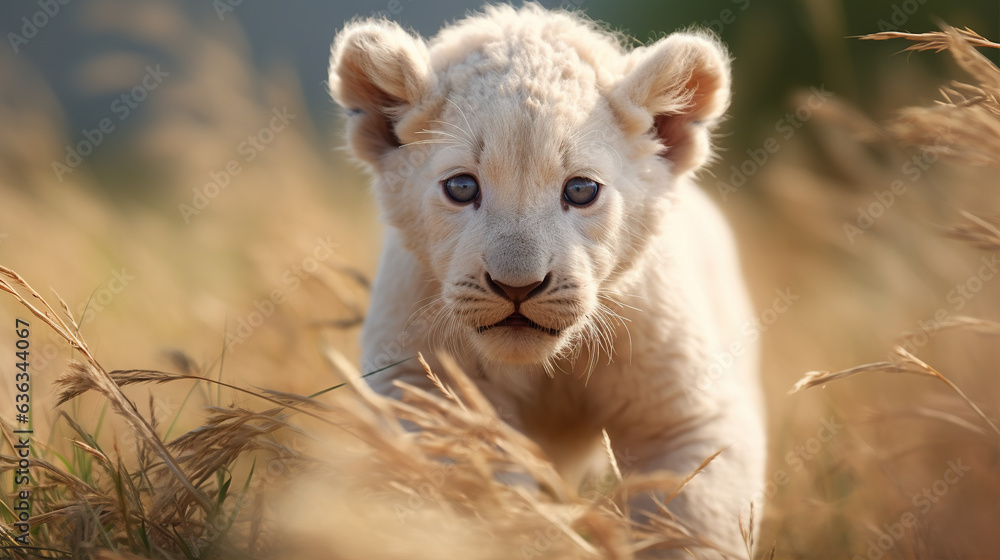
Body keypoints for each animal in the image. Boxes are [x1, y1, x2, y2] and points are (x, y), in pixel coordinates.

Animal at [329, 3, 766, 555]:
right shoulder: (427, 391)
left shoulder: (684, 418)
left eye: (580, 190)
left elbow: (689, 516)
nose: (517, 287)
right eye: (462, 186)